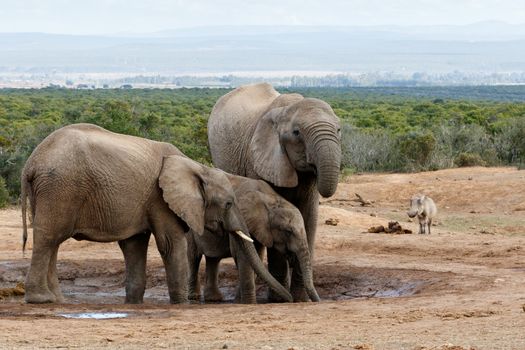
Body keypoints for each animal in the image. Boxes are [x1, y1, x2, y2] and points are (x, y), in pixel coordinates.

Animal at [20, 123, 290, 304]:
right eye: (228, 204)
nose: (290, 299)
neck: (196, 167)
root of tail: (30, 164)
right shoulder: (160, 199)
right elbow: (170, 243)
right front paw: (181, 304)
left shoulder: (145, 201)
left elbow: (134, 245)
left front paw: (134, 302)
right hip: (60, 187)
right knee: (49, 238)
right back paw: (42, 299)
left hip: (52, 189)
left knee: (54, 241)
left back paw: (57, 299)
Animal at [188, 175, 320, 304]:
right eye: (288, 231)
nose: (291, 299)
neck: (271, 200)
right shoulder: (240, 219)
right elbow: (243, 256)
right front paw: (248, 302)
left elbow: (257, 255)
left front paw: (238, 300)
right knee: (194, 258)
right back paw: (194, 297)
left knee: (213, 259)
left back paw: (213, 299)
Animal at [207, 82, 342, 300]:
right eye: (296, 133)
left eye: (338, 130)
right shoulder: (259, 159)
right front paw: (280, 299)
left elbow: (309, 217)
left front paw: (300, 299)